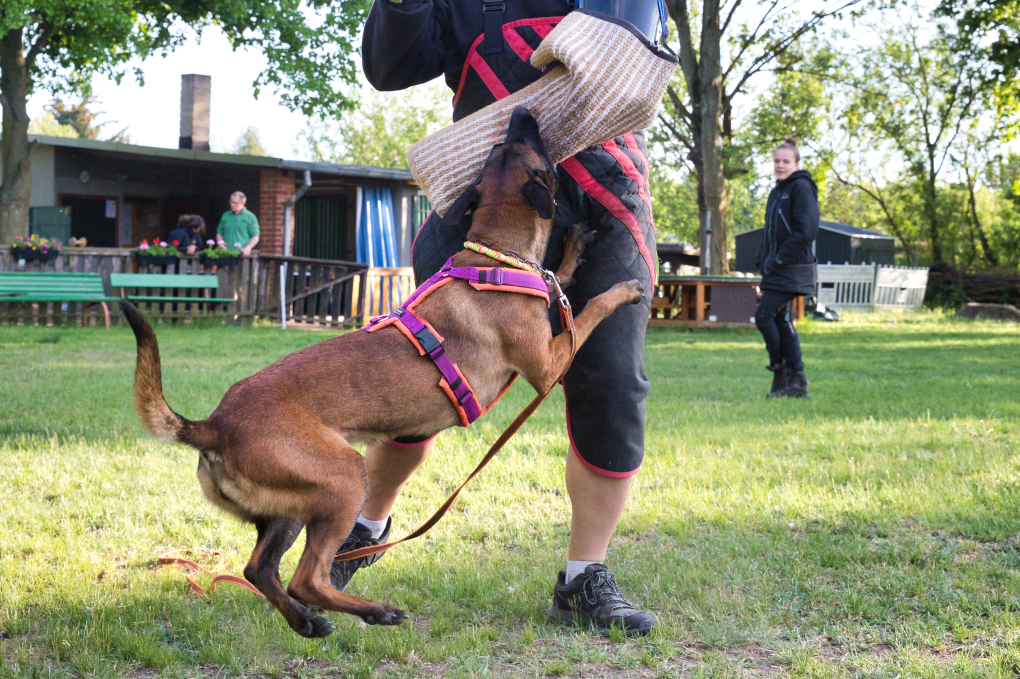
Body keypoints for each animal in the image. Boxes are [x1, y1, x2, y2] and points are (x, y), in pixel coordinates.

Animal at [123, 108, 640, 636]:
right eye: (526, 144)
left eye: (502, 147)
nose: (521, 112)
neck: (494, 254)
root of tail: (214, 424)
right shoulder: (548, 364)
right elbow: (588, 309)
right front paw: (623, 290)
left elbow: (564, 278)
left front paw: (573, 247)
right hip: (345, 478)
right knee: (305, 577)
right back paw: (374, 611)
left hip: (288, 512)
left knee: (260, 570)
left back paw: (309, 622)